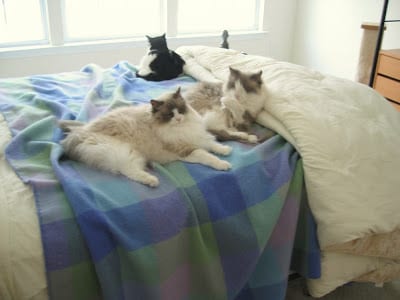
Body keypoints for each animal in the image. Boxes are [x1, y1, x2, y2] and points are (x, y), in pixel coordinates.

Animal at [59, 87, 231, 188]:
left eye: (180, 110)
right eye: (169, 115)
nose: (178, 119)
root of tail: (80, 132)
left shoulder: (198, 137)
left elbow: (213, 145)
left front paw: (225, 150)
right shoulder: (186, 149)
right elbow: (208, 156)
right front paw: (223, 164)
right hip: (124, 153)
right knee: (129, 171)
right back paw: (152, 181)